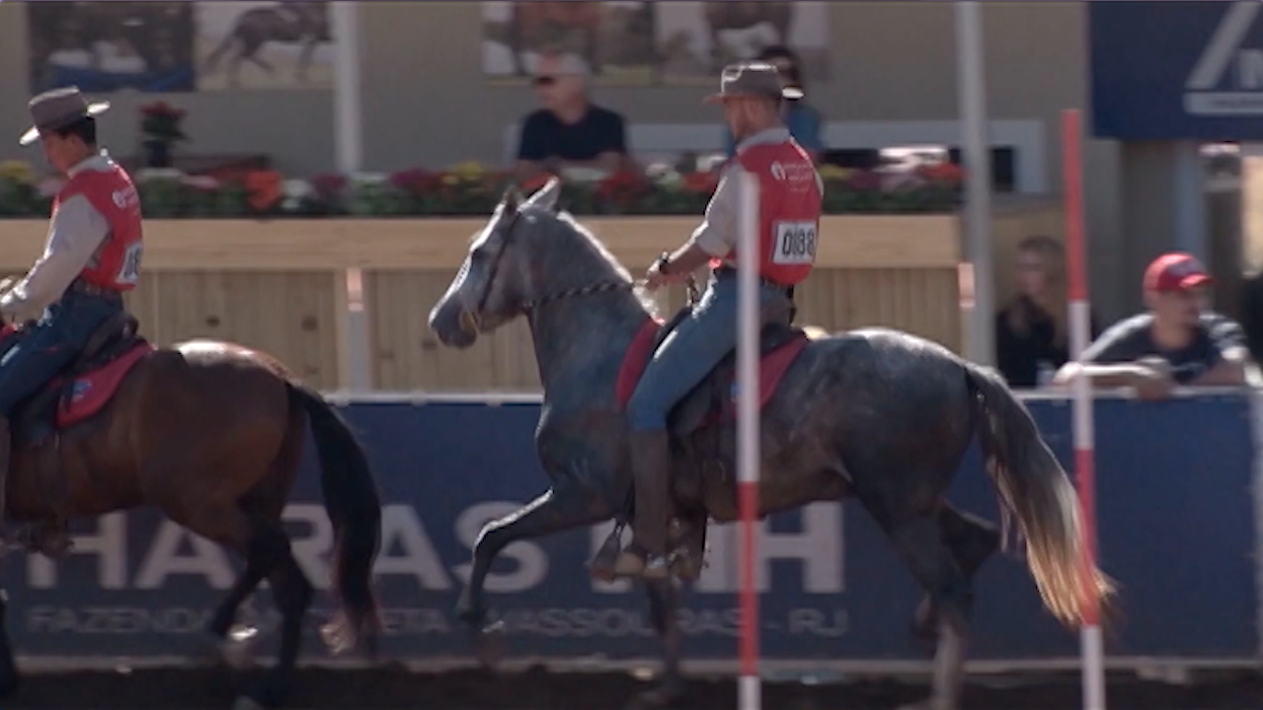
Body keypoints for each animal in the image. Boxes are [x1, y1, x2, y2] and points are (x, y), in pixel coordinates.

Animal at [0, 313, 378, 707]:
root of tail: (280, 377)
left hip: (196, 502)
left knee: (271, 553)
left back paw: (229, 640)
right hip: (254, 501)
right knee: (286, 578)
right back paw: (266, 683)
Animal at [429, 178, 1111, 710]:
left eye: (479, 252)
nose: (441, 321)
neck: (602, 359)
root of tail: (959, 367)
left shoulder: (581, 495)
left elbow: (492, 537)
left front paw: (479, 627)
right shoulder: (644, 511)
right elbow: (657, 599)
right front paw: (667, 685)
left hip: (896, 505)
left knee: (953, 587)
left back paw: (940, 689)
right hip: (912, 501)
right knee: (975, 544)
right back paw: (926, 637)